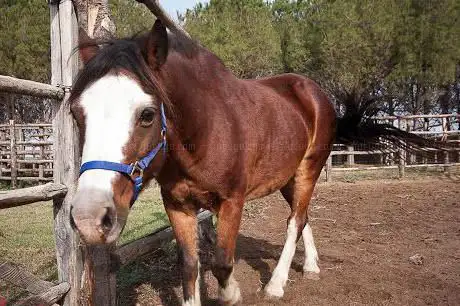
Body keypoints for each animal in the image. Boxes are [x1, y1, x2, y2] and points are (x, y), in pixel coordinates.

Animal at [69, 19, 434, 306]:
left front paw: (232, 295)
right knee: (302, 216)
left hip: (309, 170)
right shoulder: (177, 204)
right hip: (287, 178)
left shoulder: (232, 201)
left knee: (294, 222)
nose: (89, 218)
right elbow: (188, 266)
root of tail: (314, 93)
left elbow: (222, 263)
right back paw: (311, 267)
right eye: (76, 113)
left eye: (146, 114)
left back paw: (276, 285)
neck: (206, 129)